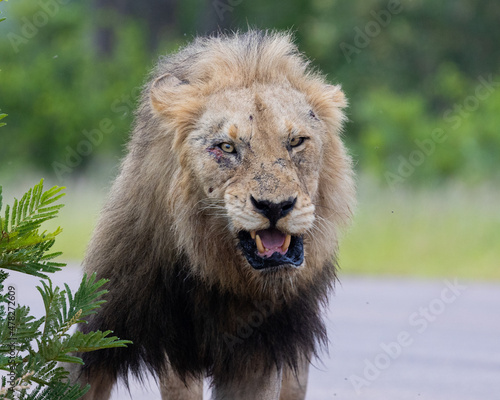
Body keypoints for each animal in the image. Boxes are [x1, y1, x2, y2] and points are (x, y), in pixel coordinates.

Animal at [73, 29, 356, 398]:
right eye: (226, 147)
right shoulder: (109, 334)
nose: (275, 206)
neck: (215, 268)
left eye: (296, 142)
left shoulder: (260, 357)